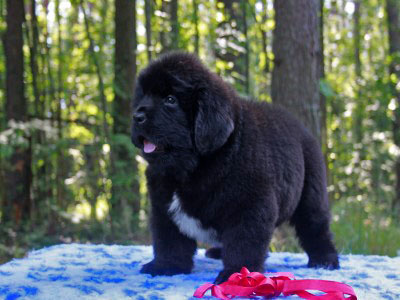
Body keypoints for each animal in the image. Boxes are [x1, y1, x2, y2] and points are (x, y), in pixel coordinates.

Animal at [130, 52, 338, 284]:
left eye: (170, 100)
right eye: (143, 96)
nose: (137, 116)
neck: (190, 168)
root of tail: (303, 129)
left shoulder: (249, 207)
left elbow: (243, 243)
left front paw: (237, 275)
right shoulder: (163, 207)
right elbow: (169, 241)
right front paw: (166, 266)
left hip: (310, 195)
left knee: (315, 227)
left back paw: (325, 260)